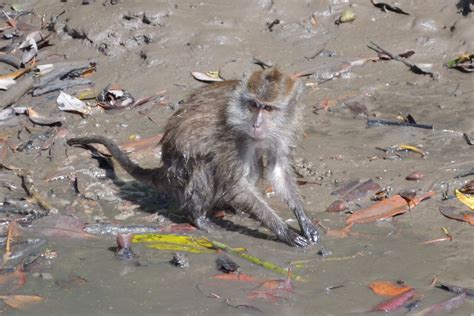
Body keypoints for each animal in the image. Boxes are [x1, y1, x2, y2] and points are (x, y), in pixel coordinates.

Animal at [67, 68, 318, 247]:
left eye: (268, 108)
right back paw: (198, 216)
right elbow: (235, 185)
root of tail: (165, 169)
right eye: (254, 105)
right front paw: (283, 231)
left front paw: (304, 220)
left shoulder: (283, 132)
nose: (256, 124)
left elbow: (278, 170)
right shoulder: (231, 137)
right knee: (204, 164)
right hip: (180, 174)